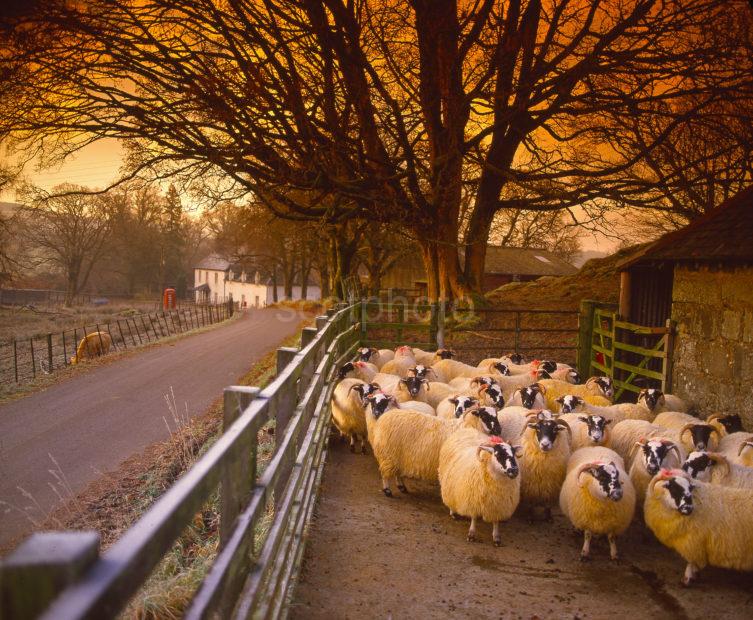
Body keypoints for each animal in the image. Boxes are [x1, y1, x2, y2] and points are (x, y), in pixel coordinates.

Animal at [362, 394, 500, 496]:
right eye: (484, 415)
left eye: (496, 415)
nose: (498, 430)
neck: (469, 425)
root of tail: (385, 417)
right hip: (389, 453)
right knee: (385, 473)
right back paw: (387, 490)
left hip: (398, 455)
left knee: (396, 472)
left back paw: (401, 486)